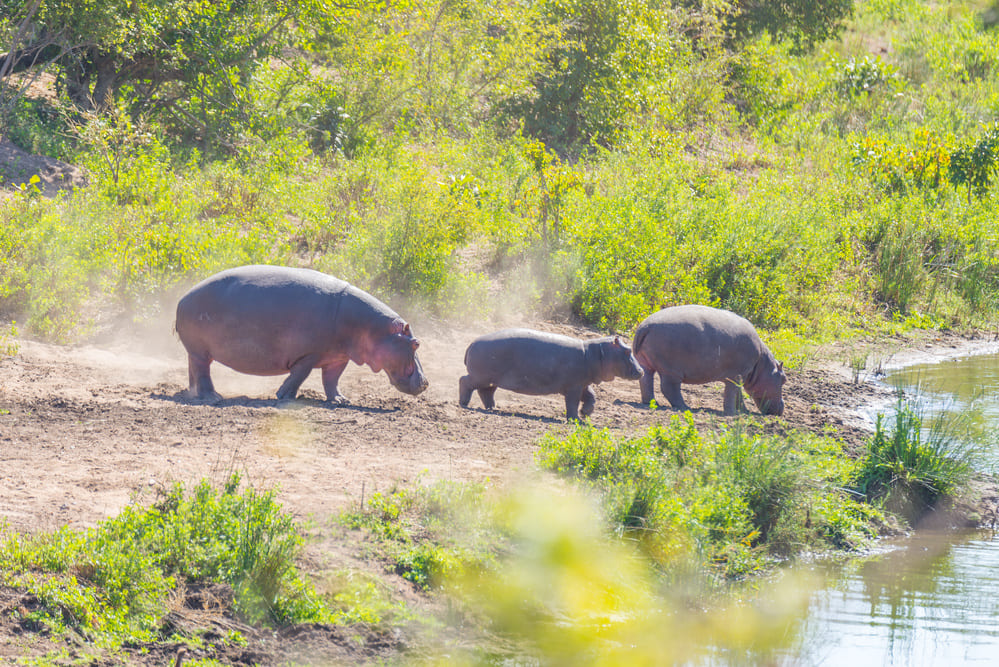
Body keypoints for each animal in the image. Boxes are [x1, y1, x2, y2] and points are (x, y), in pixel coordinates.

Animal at [176, 264, 430, 402]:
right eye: (416, 343)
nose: (426, 383)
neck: (373, 328)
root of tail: (182, 299)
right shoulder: (309, 355)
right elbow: (299, 375)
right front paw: (284, 396)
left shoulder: (338, 357)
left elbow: (332, 380)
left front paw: (340, 400)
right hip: (200, 350)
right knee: (203, 372)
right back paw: (213, 397)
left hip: (195, 352)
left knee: (194, 370)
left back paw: (193, 394)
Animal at [458, 330, 644, 422]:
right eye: (627, 351)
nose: (642, 371)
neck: (596, 353)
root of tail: (471, 343)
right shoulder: (573, 387)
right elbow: (572, 403)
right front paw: (576, 419)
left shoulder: (582, 383)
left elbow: (591, 396)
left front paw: (586, 413)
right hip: (481, 376)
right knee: (464, 381)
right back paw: (464, 404)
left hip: (490, 379)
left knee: (486, 391)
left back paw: (492, 408)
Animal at [632, 304, 788, 414]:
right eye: (784, 379)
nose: (782, 408)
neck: (762, 364)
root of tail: (644, 327)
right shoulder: (737, 374)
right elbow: (732, 394)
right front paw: (731, 413)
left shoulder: (740, 376)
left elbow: (738, 395)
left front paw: (744, 411)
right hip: (671, 371)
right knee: (669, 388)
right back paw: (685, 407)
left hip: (645, 364)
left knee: (646, 381)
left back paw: (651, 403)